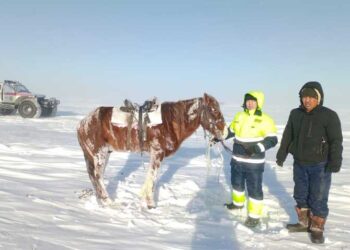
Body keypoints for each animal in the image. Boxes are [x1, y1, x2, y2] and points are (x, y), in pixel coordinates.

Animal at [77, 93, 226, 208]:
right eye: (213, 109)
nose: (225, 132)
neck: (170, 122)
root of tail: (82, 123)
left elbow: (151, 176)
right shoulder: (157, 153)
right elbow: (153, 177)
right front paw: (150, 204)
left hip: (102, 154)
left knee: (96, 176)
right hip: (99, 154)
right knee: (97, 176)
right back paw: (108, 201)